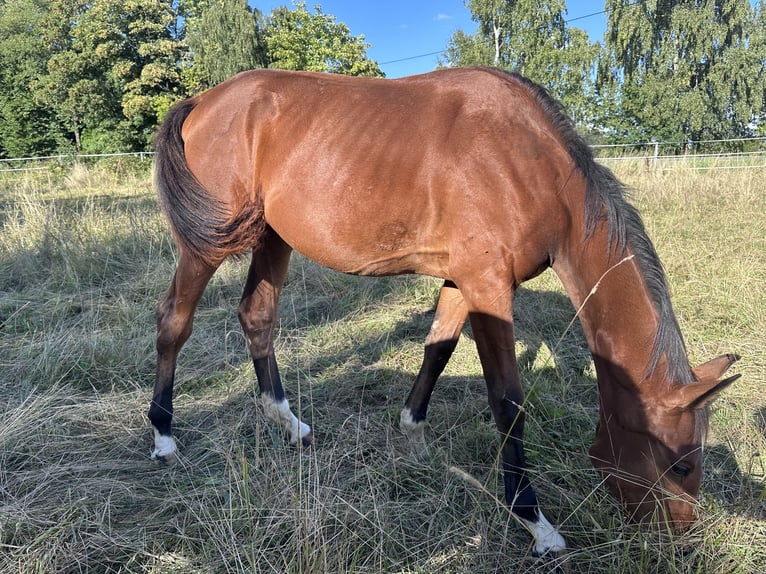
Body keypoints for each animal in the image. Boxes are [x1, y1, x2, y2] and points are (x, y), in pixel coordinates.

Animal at [149, 67, 739, 556]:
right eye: (682, 462)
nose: (682, 538)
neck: (531, 164)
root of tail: (203, 100)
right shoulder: (487, 286)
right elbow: (507, 400)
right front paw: (535, 523)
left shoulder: (463, 282)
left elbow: (438, 349)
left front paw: (412, 433)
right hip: (206, 247)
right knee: (173, 321)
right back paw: (163, 438)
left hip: (272, 237)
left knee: (257, 316)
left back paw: (289, 423)